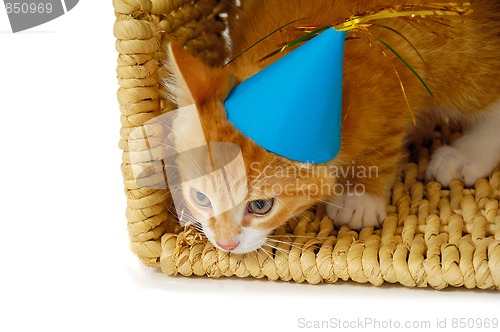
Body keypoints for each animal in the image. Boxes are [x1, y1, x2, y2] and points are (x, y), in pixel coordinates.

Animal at [164, 0, 500, 254]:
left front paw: (360, 196)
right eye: (201, 198)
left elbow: (384, 138)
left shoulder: (398, 74)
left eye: (260, 205)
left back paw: (465, 155)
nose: (225, 244)